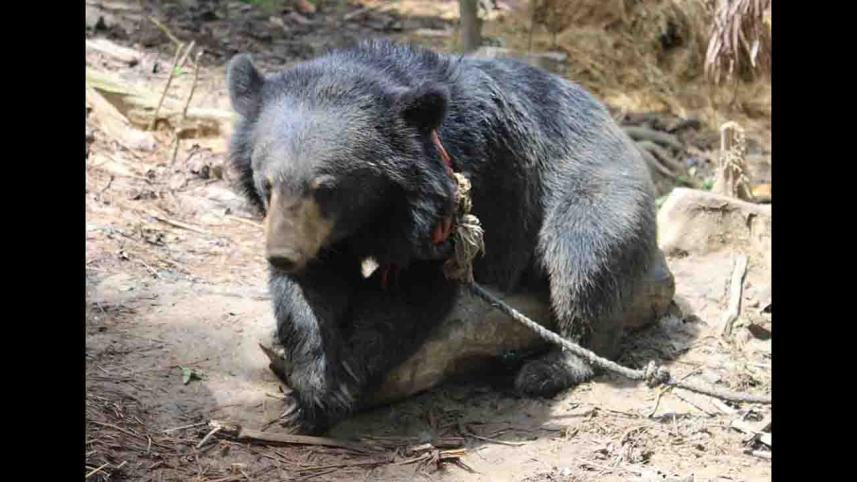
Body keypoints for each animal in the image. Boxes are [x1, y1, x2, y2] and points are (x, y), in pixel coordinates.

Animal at [226, 40, 658, 434]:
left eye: (326, 188)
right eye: (267, 184)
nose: (282, 255)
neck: (376, 211)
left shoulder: (449, 205)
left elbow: (410, 290)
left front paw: (341, 385)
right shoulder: (322, 237)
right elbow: (312, 293)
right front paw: (310, 393)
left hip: (596, 190)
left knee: (583, 263)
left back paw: (548, 368)